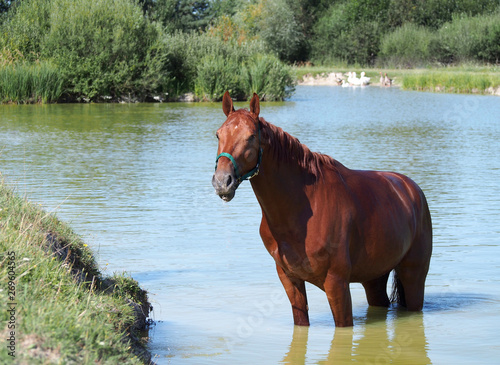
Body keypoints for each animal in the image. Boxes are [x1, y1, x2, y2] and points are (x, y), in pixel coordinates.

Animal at [211, 91, 430, 328]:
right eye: (218, 135)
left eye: (251, 136)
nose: (222, 181)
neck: (301, 213)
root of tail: (411, 189)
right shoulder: (290, 280)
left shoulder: (337, 284)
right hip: (374, 278)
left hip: (413, 276)